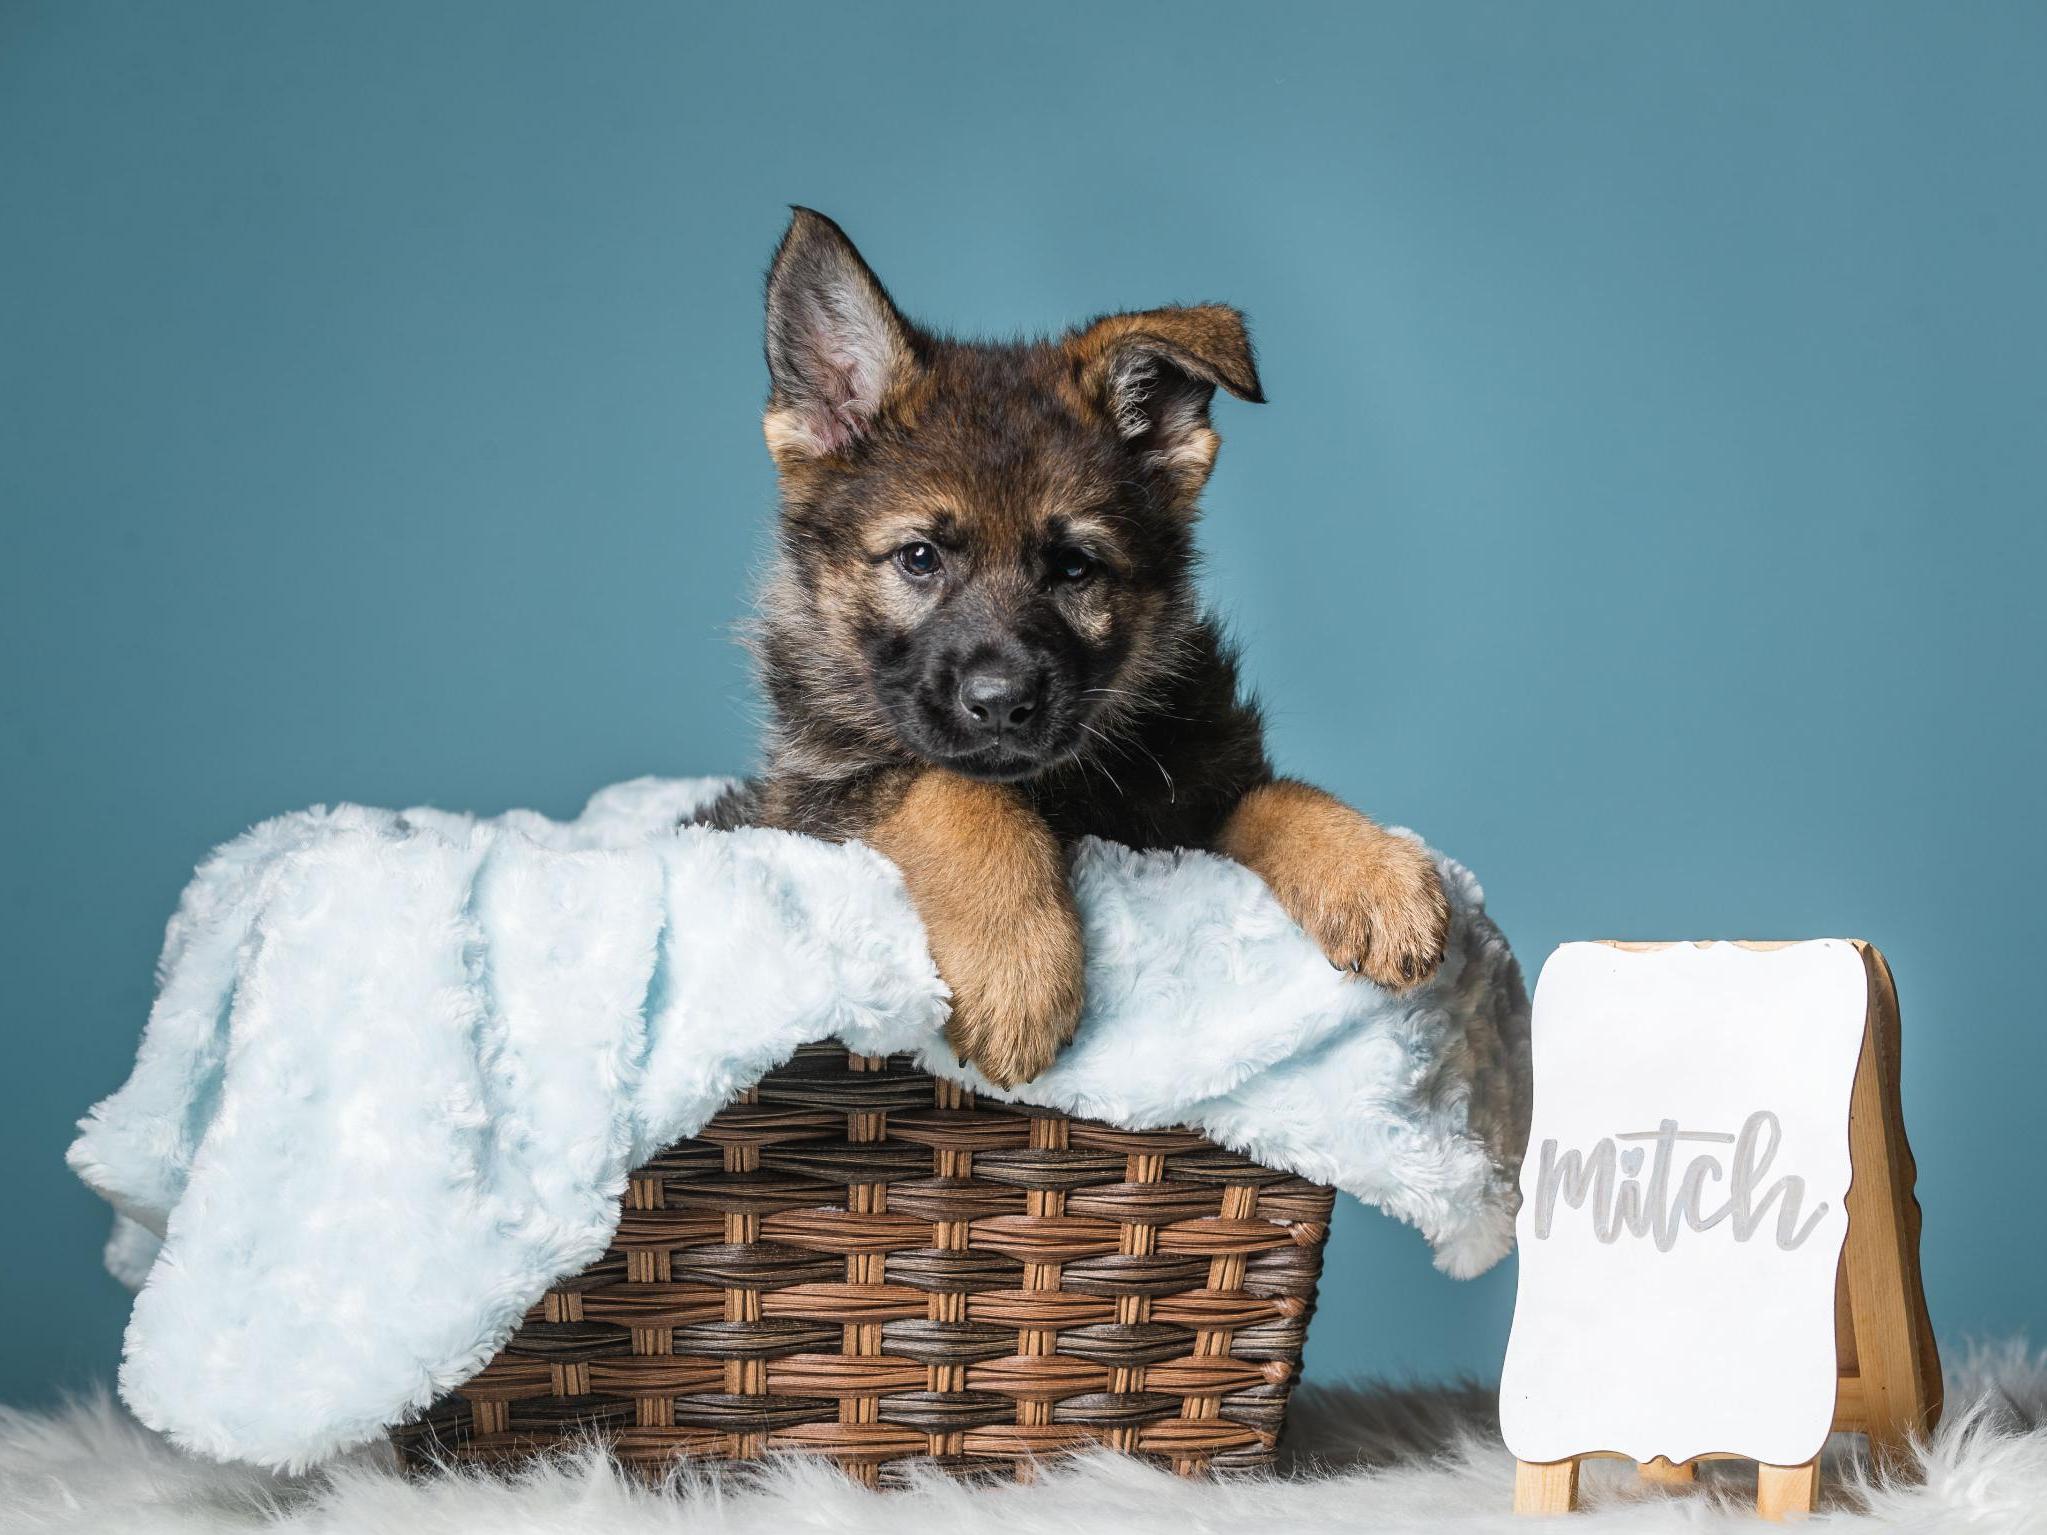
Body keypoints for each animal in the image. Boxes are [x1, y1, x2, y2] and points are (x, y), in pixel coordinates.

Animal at [712, 207, 1449, 1097]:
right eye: (920, 558)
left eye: (1073, 567)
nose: (1000, 703)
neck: (1061, 791)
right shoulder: (812, 804)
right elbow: (956, 792)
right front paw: (1017, 967)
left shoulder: (1184, 810)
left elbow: (1274, 796)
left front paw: (1372, 869)